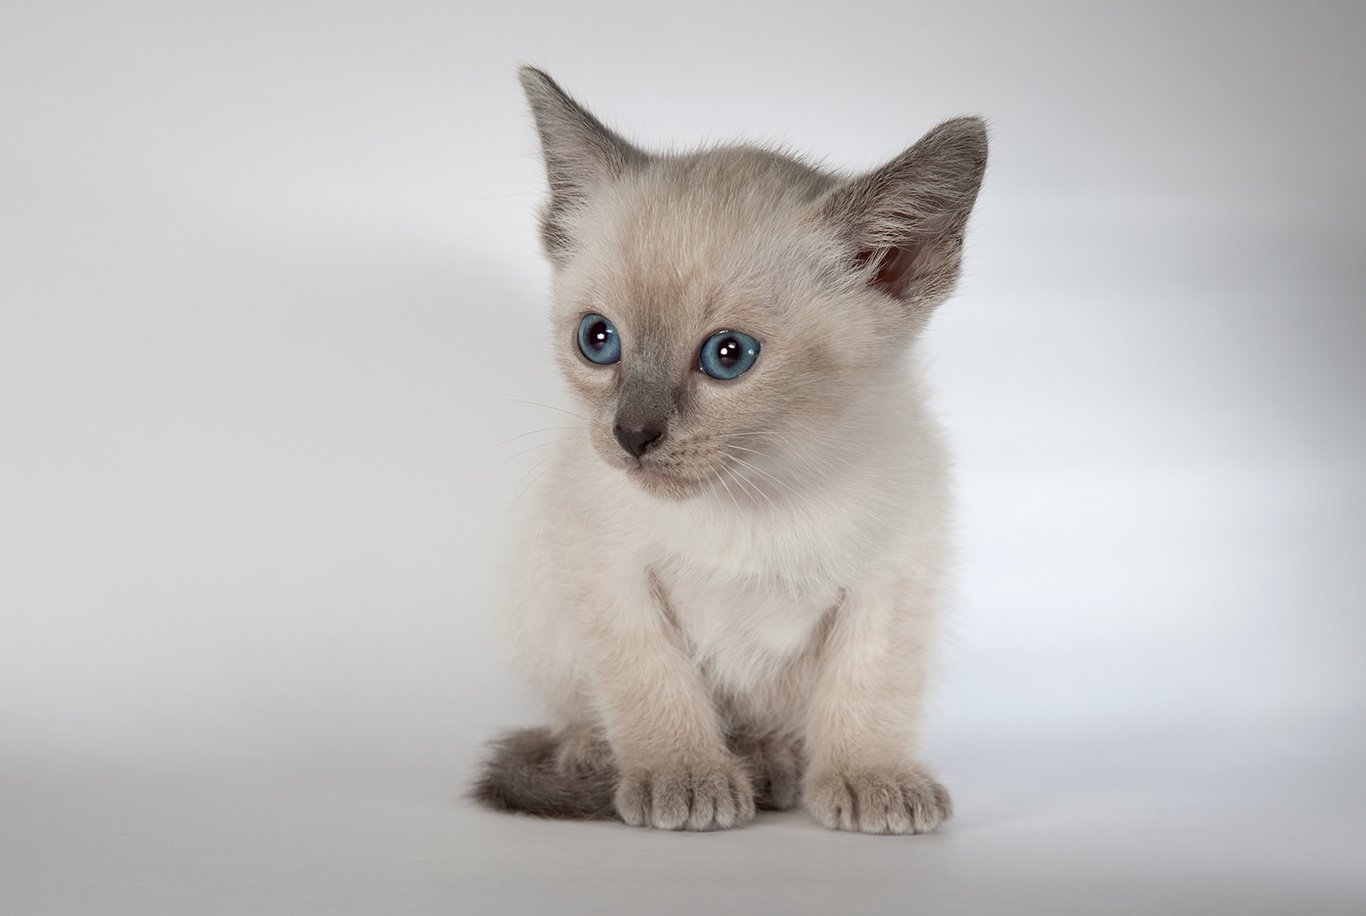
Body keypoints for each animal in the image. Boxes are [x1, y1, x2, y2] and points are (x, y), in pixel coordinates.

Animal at [475, 68, 988, 835]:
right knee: (584, 713)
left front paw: (871, 777)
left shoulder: (895, 575)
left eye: (728, 355)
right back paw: (611, 759)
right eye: (598, 340)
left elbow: (870, 686)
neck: (757, 493)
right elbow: (651, 682)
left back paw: (773, 763)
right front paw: (683, 776)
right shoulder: (605, 569)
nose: (632, 435)